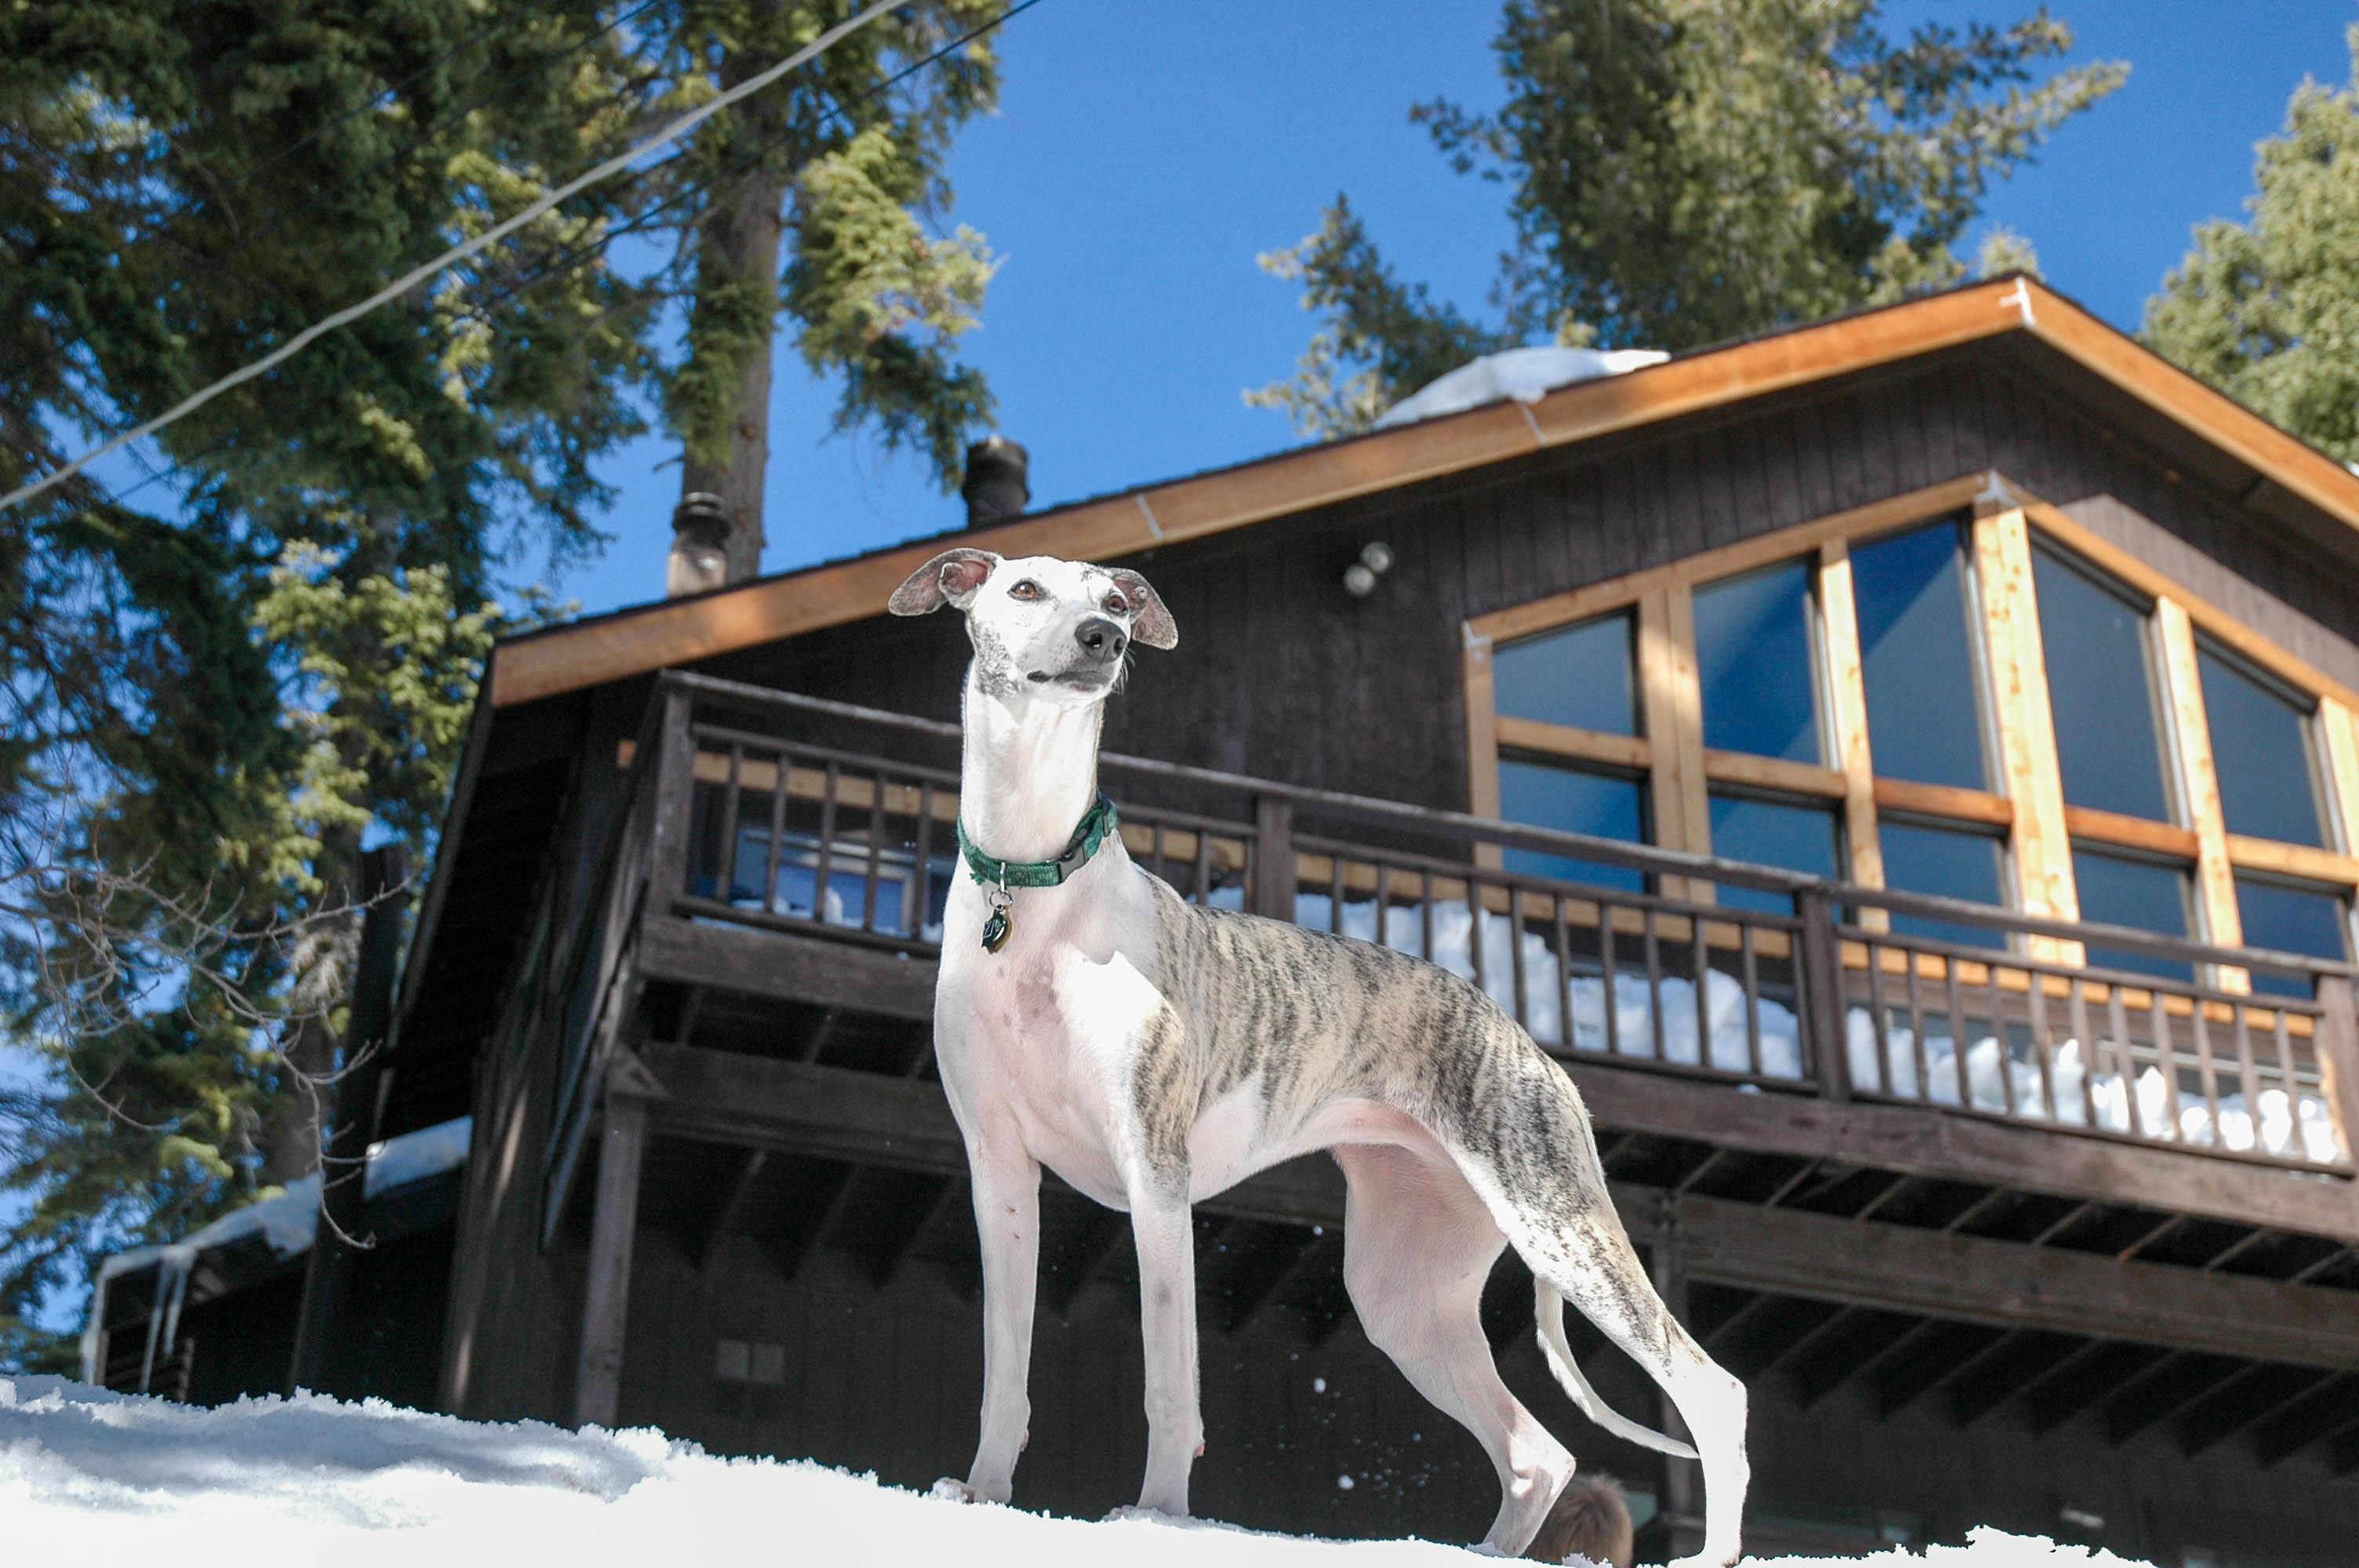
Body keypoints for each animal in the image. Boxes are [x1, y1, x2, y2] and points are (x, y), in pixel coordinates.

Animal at [892, 544, 1745, 1555]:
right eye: (1023, 588)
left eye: (1115, 602)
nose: (1103, 640)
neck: (1031, 887)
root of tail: (1530, 1047)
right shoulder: (998, 1170)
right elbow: (1004, 1366)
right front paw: (982, 1494)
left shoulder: (1155, 1173)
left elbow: (1169, 1378)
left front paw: (1158, 1516)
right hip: (1403, 1292)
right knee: (1540, 1451)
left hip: (1561, 1226)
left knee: (1712, 1387)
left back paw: (1715, 1548)